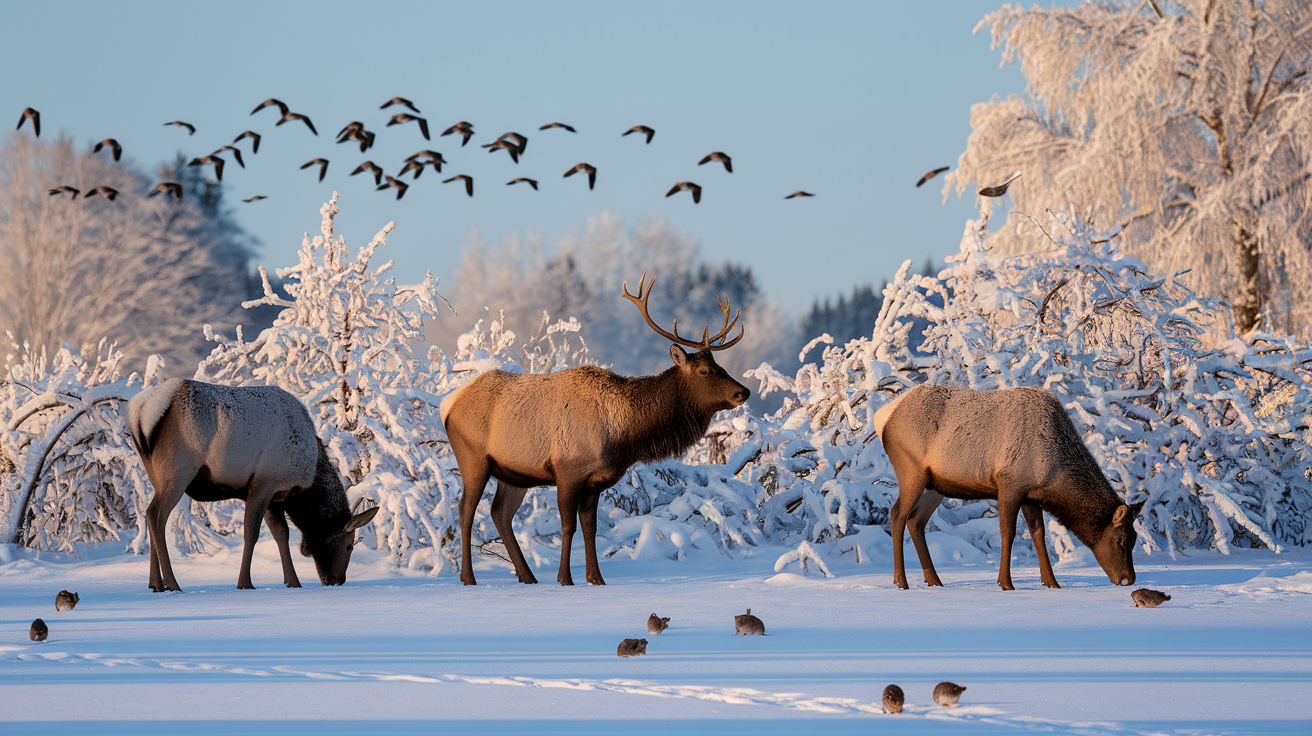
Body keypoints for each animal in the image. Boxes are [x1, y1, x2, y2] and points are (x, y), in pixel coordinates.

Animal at [127, 377, 377, 590]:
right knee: (156, 515)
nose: (337, 580)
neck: (307, 482)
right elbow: (252, 533)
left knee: (149, 514)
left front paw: (293, 582)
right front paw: (245, 583)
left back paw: (155, 584)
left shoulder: (274, 497)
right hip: (179, 469)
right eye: (349, 545)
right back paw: (172, 583)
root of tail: (140, 411)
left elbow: (281, 534)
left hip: (154, 472)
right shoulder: (264, 483)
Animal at [440, 274, 750, 585]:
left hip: (515, 475)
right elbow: (568, 526)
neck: (622, 437)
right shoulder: (568, 469)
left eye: (720, 365)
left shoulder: (596, 481)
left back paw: (528, 576)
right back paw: (469, 578)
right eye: (704, 371)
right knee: (465, 510)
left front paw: (596, 579)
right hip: (473, 458)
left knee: (500, 514)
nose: (743, 392)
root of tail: (448, 404)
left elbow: (590, 528)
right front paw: (565, 578)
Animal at [876, 380, 1144, 587]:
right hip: (911, 471)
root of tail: (883, 417)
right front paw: (1006, 583)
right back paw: (901, 581)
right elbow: (1009, 533)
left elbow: (1038, 534)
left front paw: (1052, 583)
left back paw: (934, 580)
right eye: (1122, 540)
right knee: (897, 514)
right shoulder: (1009, 484)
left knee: (916, 521)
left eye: (1135, 539)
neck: (1053, 474)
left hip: (935, 486)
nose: (1128, 579)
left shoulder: (1031, 495)